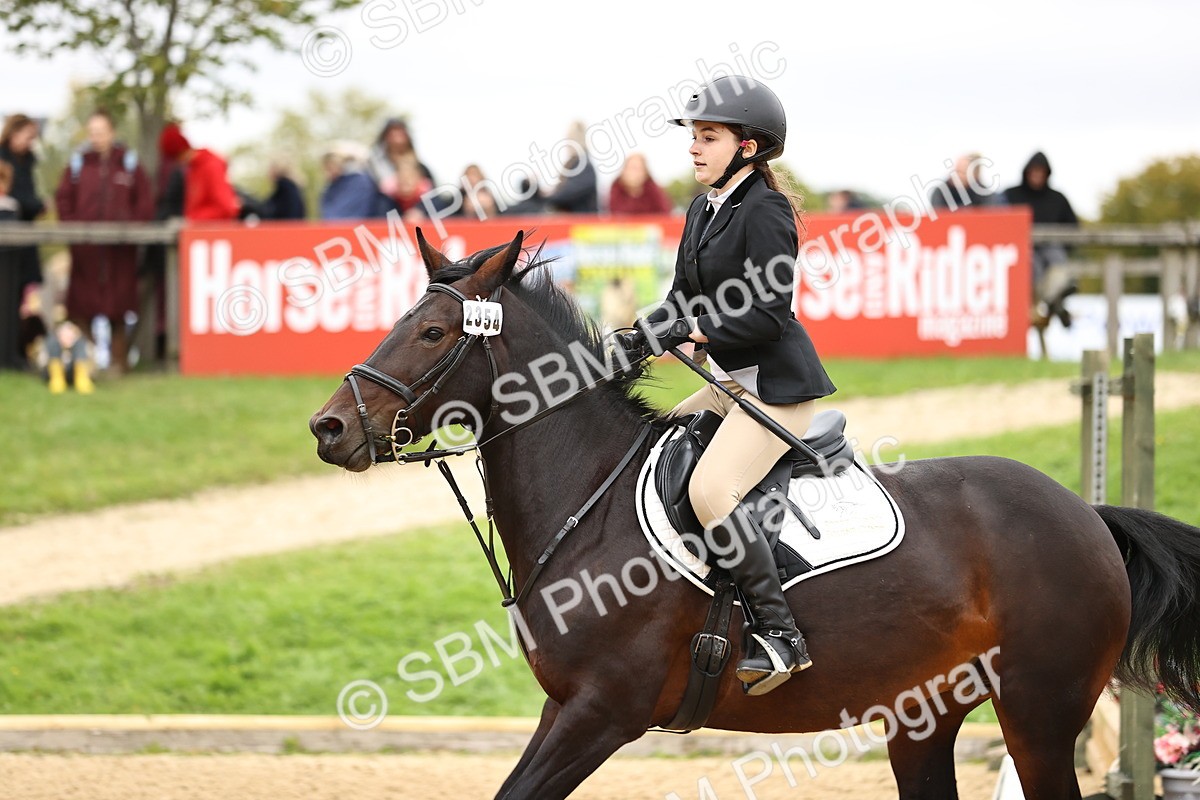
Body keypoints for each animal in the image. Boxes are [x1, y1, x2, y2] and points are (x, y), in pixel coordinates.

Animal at [310, 230, 1200, 799]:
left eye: (432, 332)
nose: (329, 428)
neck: (590, 495)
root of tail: (1086, 514)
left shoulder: (602, 712)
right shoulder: (564, 707)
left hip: (1040, 715)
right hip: (923, 718)